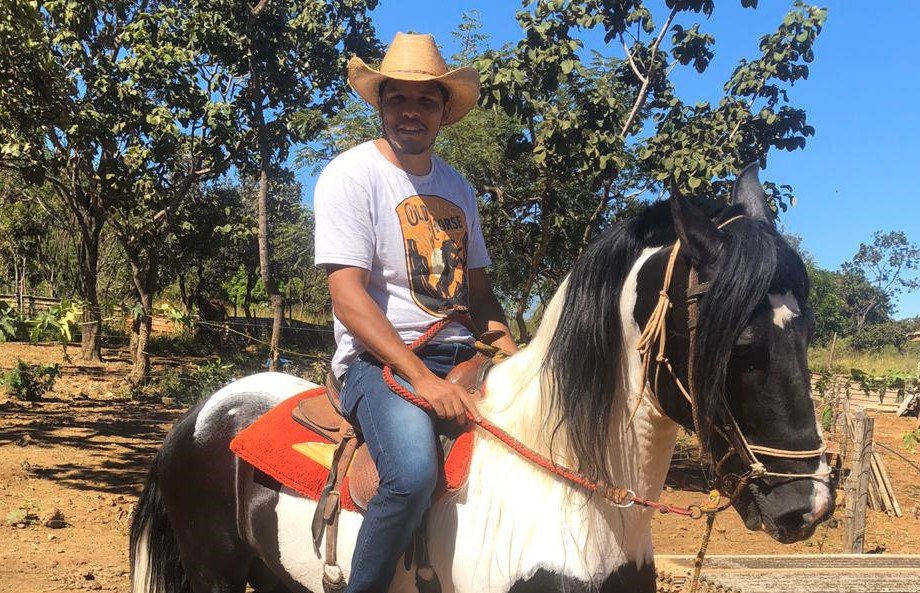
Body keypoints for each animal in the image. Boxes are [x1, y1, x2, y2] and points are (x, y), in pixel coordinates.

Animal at [129, 166, 832, 592]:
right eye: (740, 347)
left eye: (805, 334)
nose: (808, 505)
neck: (568, 480)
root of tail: (196, 418)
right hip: (214, 574)